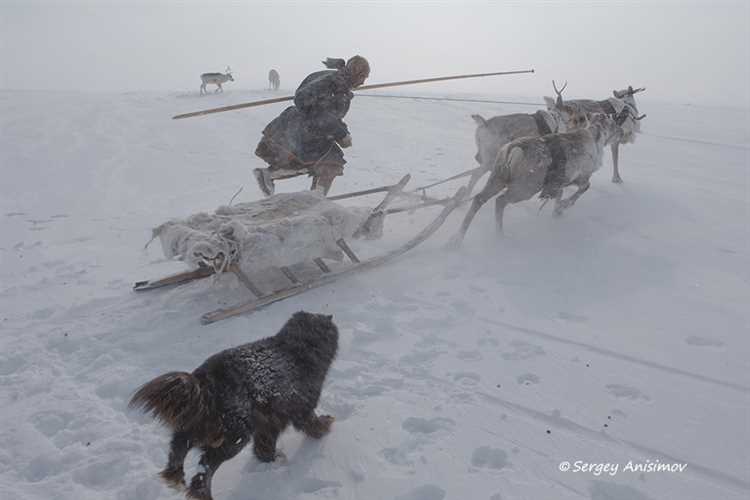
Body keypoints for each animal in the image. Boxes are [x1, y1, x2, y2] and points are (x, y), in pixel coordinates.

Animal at [130, 310, 340, 498]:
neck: (296, 348)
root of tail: (204, 380)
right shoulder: (301, 407)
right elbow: (311, 423)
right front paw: (324, 427)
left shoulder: (268, 421)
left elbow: (264, 445)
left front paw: (270, 460)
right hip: (234, 435)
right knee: (204, 469)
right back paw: (202, 494)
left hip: (196, 423)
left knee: (179, 446)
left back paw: (174, 477)